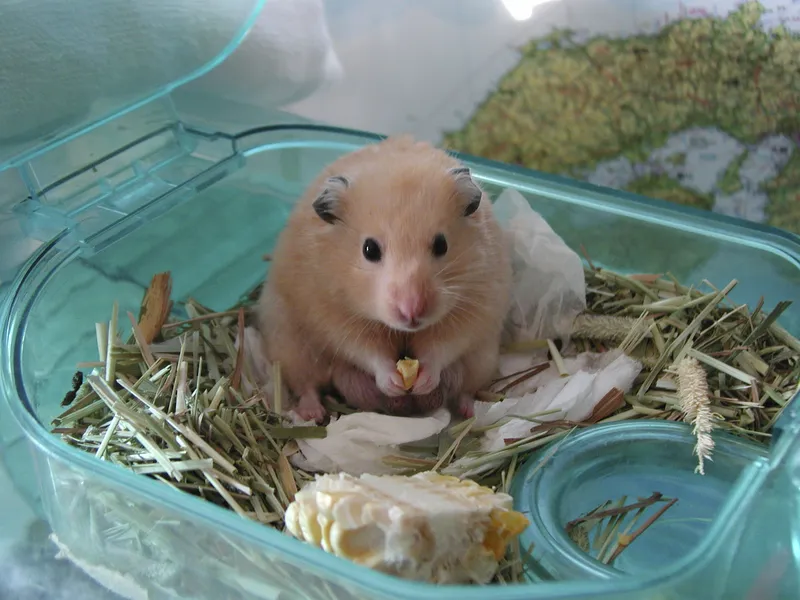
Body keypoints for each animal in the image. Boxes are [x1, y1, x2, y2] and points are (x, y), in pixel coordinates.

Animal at [257, 136, 512, 423]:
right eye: (369, 249)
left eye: (442, 244)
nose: (411, 313)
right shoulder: (333, 316)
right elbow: (367, 351)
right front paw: (393, 383)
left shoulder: (472, 309)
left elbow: (440, 349)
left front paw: (423, 382)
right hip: (291, 347)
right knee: (307, 384)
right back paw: (314, 413)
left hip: (483, 358)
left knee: (466, 386)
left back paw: (467, 411)